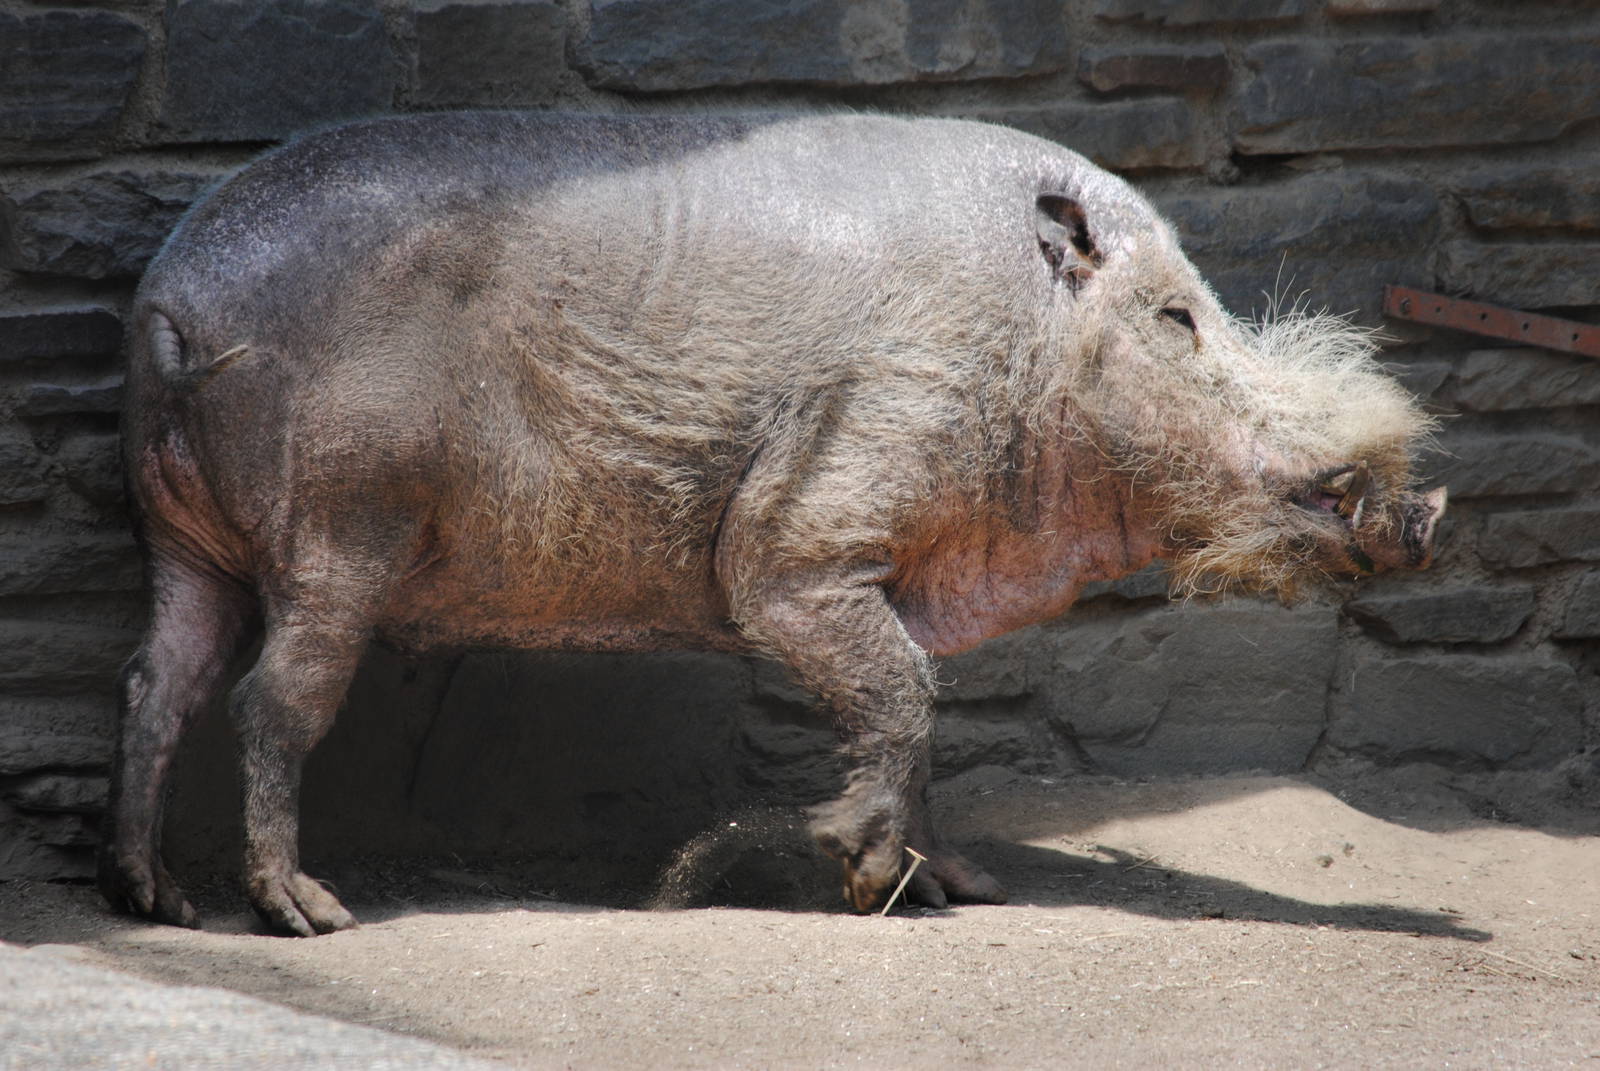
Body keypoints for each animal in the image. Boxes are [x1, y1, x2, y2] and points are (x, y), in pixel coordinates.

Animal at [100, 112, 1444, 936]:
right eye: (1176, 319)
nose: (1426, 508)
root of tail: (173, 304)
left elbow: (919, 714)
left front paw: (967, 892)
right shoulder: (807, 539)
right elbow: (899, 693)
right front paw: (868, 879)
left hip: (184, 539)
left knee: (158, 681)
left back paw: (154, 900)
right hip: (339, 524)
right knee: (270, 699)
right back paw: (307, 914)